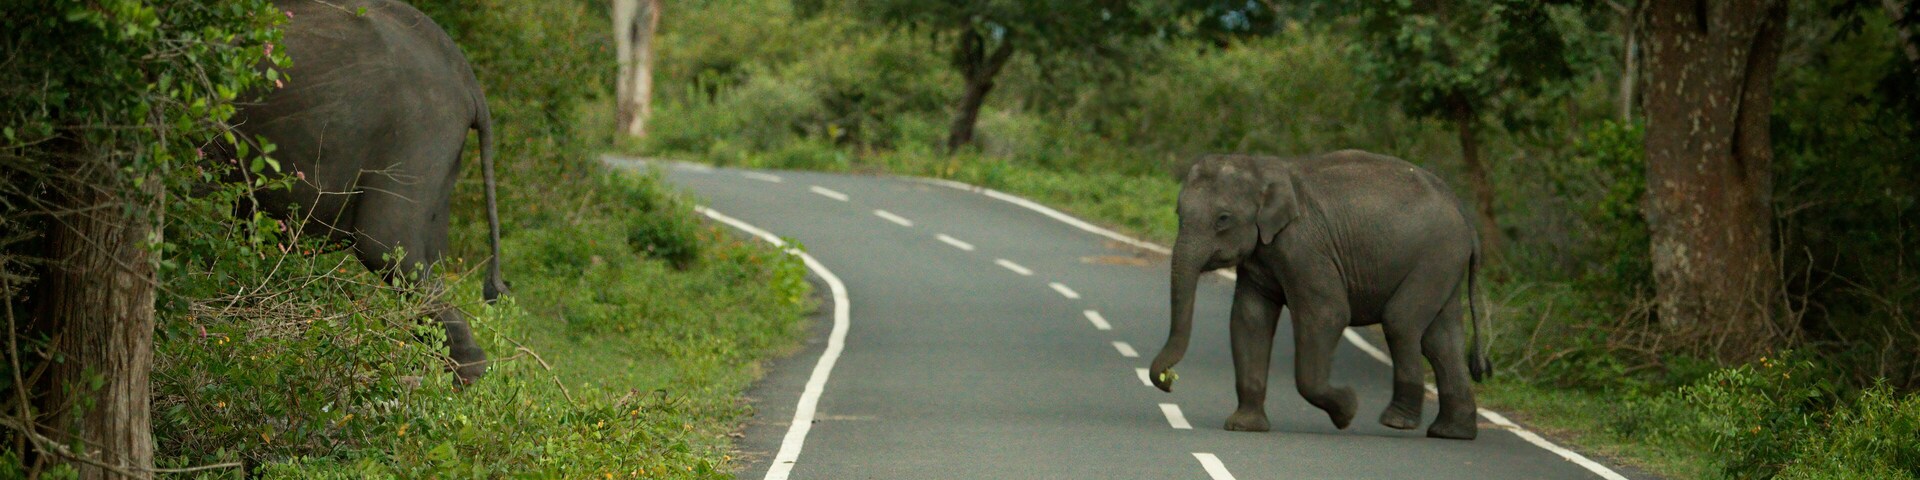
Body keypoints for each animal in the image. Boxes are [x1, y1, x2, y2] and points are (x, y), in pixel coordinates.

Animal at [1146, 151, 1491, 440]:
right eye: (1178, 212)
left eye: (1223, 219)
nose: (1168, 382)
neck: (1263, 169)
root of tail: (1464, 215)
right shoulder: (1261, 255)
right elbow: (1249, 318)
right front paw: (1244, 427)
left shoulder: (1304, 248)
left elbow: (1328, 314)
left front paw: (1348, 410)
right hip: (1443, 263)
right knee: (1440, 340)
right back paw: (1451, 433)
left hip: (1436, 256)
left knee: (1401, 323)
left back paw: (1397, 422)